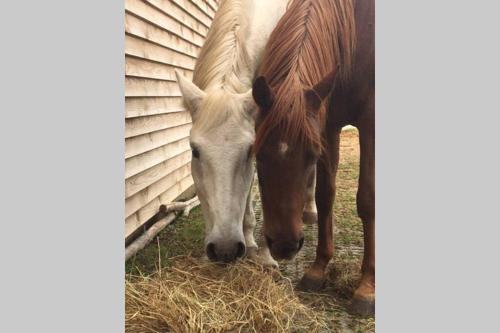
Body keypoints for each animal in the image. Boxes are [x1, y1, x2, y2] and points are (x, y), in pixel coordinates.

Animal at [252, 0, 374, 314]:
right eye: (258, 154)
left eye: (311, 155)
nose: (284, 246)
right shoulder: (328, 124)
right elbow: (325, 195)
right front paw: (318, 270)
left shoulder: (369, 124)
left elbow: (367, 200)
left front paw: (367, 288)